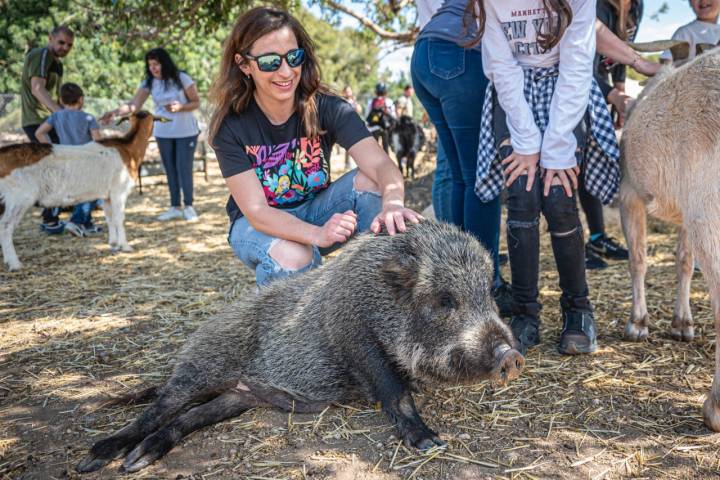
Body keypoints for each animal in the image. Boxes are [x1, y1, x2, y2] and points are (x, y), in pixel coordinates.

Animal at [1, 110, 162, 272]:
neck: (128, 149)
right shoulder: (119, 191)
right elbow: (119, 218)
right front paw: (126, 246)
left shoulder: (107, 195)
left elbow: (110, 218)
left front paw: (114, 244)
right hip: (18, 197)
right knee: (6, 226)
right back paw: (14, 263)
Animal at [620, 47, 720, 432]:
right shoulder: (685, 212)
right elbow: (683, 263)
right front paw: (682, 324)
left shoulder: (629, 192)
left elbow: (638, 260)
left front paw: (637, 323)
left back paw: (714, 408)